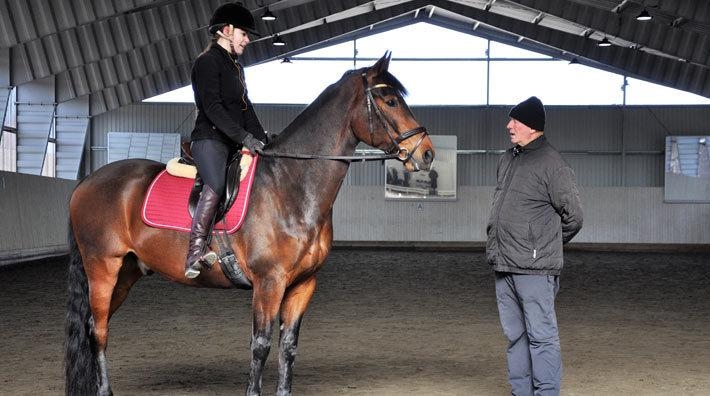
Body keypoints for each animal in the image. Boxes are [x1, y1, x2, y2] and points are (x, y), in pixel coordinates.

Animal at [65, 53, 434, 396]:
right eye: (390, 100)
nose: (426, 153)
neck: (290, 185)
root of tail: (86, 183)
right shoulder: (268, 283)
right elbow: (261, 346)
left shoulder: (303, 284)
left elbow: (288, 347)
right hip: (103, 267)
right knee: (99, 330)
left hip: (127, 272)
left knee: (95, 324)